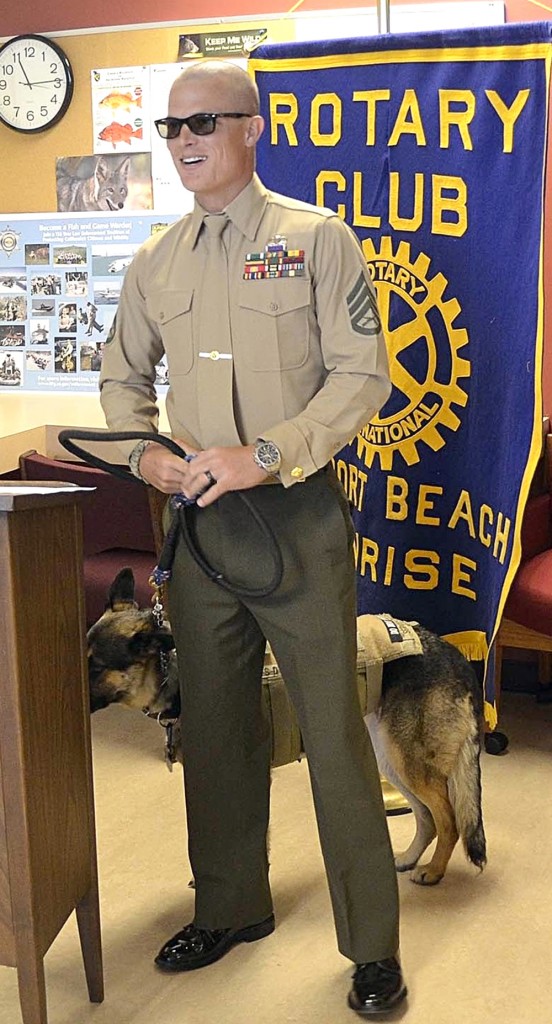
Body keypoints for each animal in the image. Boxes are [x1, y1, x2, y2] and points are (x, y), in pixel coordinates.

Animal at [87, 569, 487, 888]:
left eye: (96, 667)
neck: (177, 674)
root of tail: (454, 655)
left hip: (409, 765)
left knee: (449, 820)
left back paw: (434, 871)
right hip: (392, 760)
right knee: (428, 819)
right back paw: (408, 858)